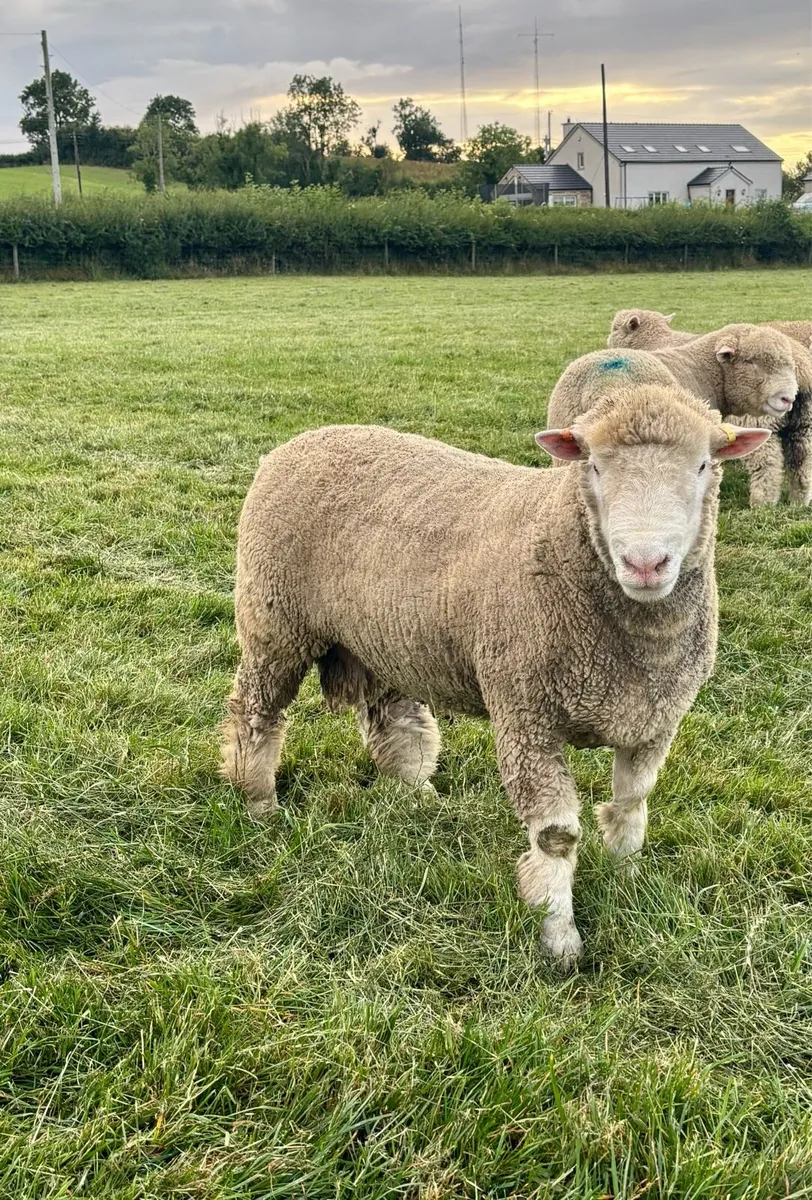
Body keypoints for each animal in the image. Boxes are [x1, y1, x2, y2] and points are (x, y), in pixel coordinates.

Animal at [220, 393, 769, 969]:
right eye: (594, 466)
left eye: (704, 465)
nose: (645, 563)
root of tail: (304, 439)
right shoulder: (526, 715)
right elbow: (556, 838)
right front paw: (559, 937)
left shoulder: (654, 720)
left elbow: (630, 807)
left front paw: (627, 884)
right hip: (274, 622)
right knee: (255, 714)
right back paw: (258, 801)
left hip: (386, 636)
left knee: (393, 718)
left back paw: (416, 795)